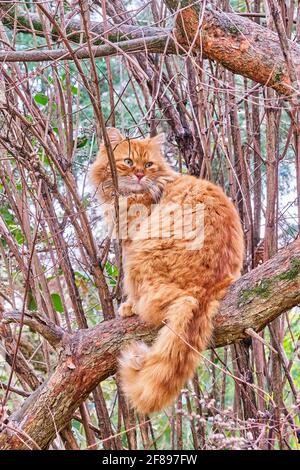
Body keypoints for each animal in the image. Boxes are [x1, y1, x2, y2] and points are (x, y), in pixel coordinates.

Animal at [89, 126, 244, 414]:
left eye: (149, 165)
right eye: (129, 162)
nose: (140, 174)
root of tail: (207, 288)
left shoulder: (130, 243)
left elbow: (130, 288)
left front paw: (128, 305)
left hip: (142, 253)